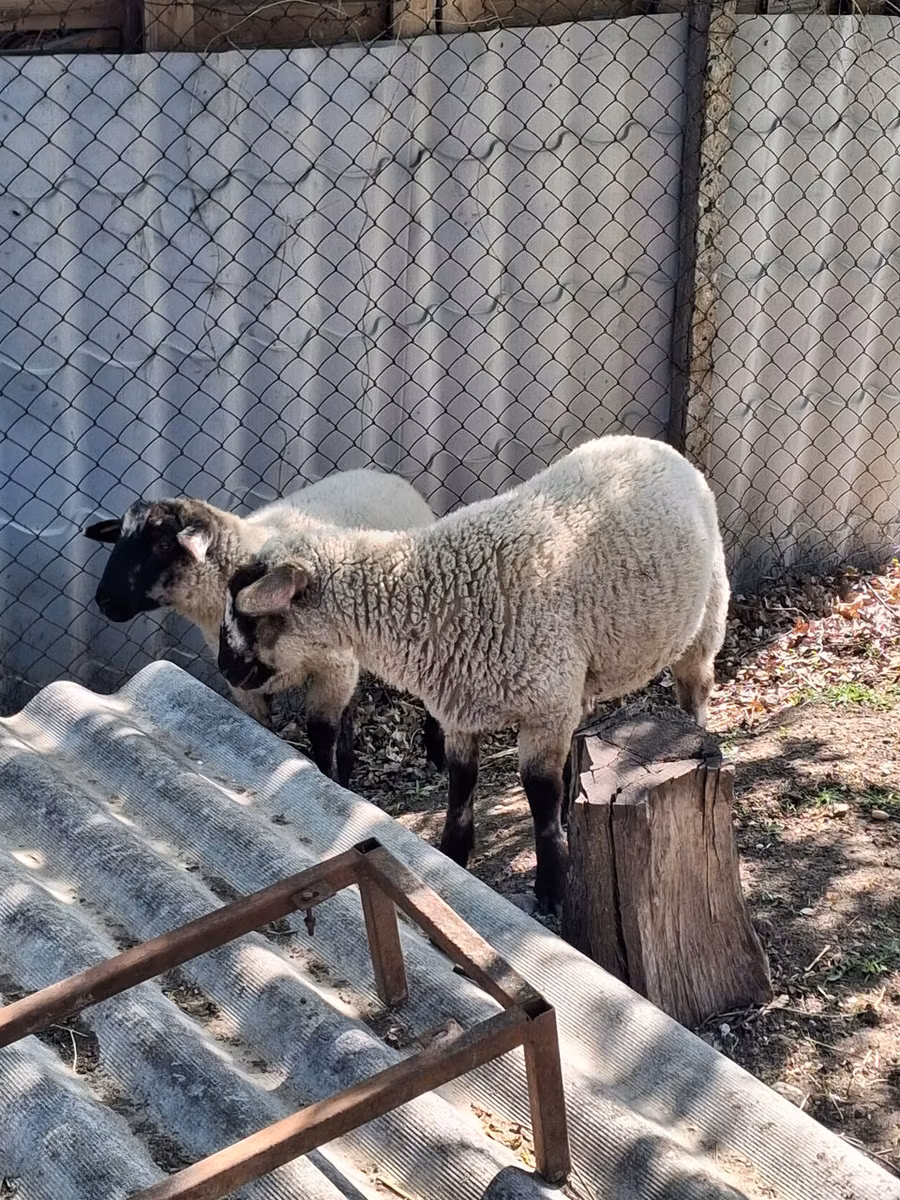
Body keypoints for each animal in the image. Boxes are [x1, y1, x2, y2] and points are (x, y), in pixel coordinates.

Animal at [83, 468, 446, 787]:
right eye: (119, 540)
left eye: (162, 544)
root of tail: (388, 477)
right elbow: (263, 733)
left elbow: (321, 734)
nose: (103, 601)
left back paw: (436, 755)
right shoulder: (245, 683)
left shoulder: (332, 668)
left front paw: (330, 781)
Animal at [216, 435, 730, 915]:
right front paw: (453, 858)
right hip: (573, 681)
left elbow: (539, 797)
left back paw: (691, 734)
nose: (225, 668)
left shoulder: (541, 709)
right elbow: (461, 788)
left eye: (247, 615)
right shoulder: (461, 709)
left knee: (695, 688)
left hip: (705, 617)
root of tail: (649, 443)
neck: (436, 588)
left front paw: (552, 888)